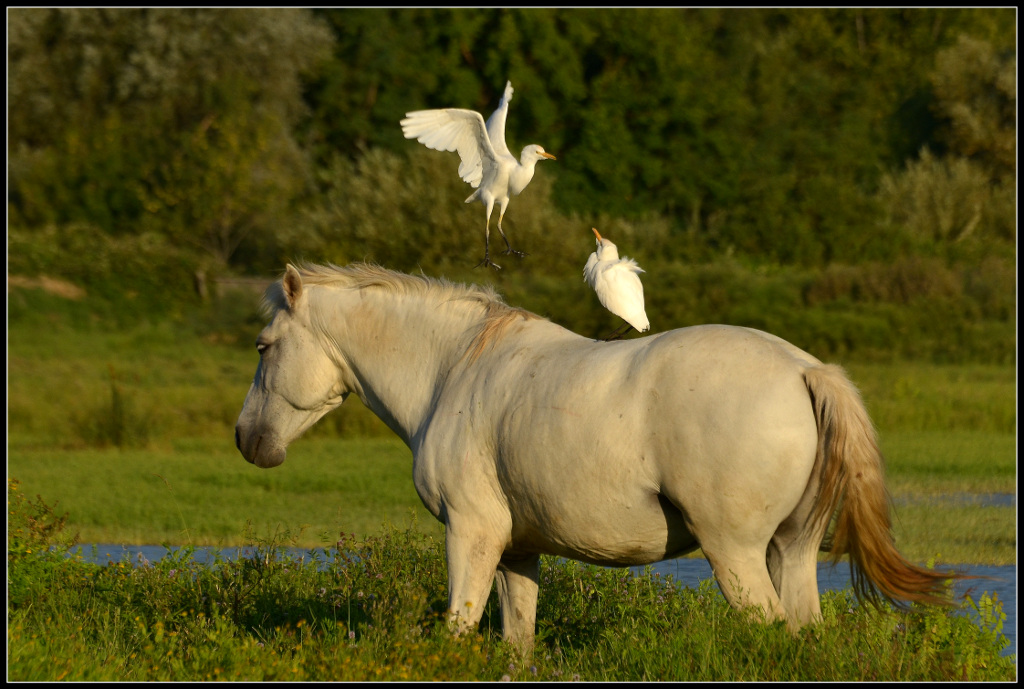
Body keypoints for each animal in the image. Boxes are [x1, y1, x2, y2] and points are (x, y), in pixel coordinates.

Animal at [235, 262, 954, 651]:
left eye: (264, 346)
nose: (248, 440)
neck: (453, 368)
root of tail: (805, 370)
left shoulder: (472, 534)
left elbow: (458, 629)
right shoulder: (518, 551)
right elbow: (515, 643)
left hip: (738, 554)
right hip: (792, 550)